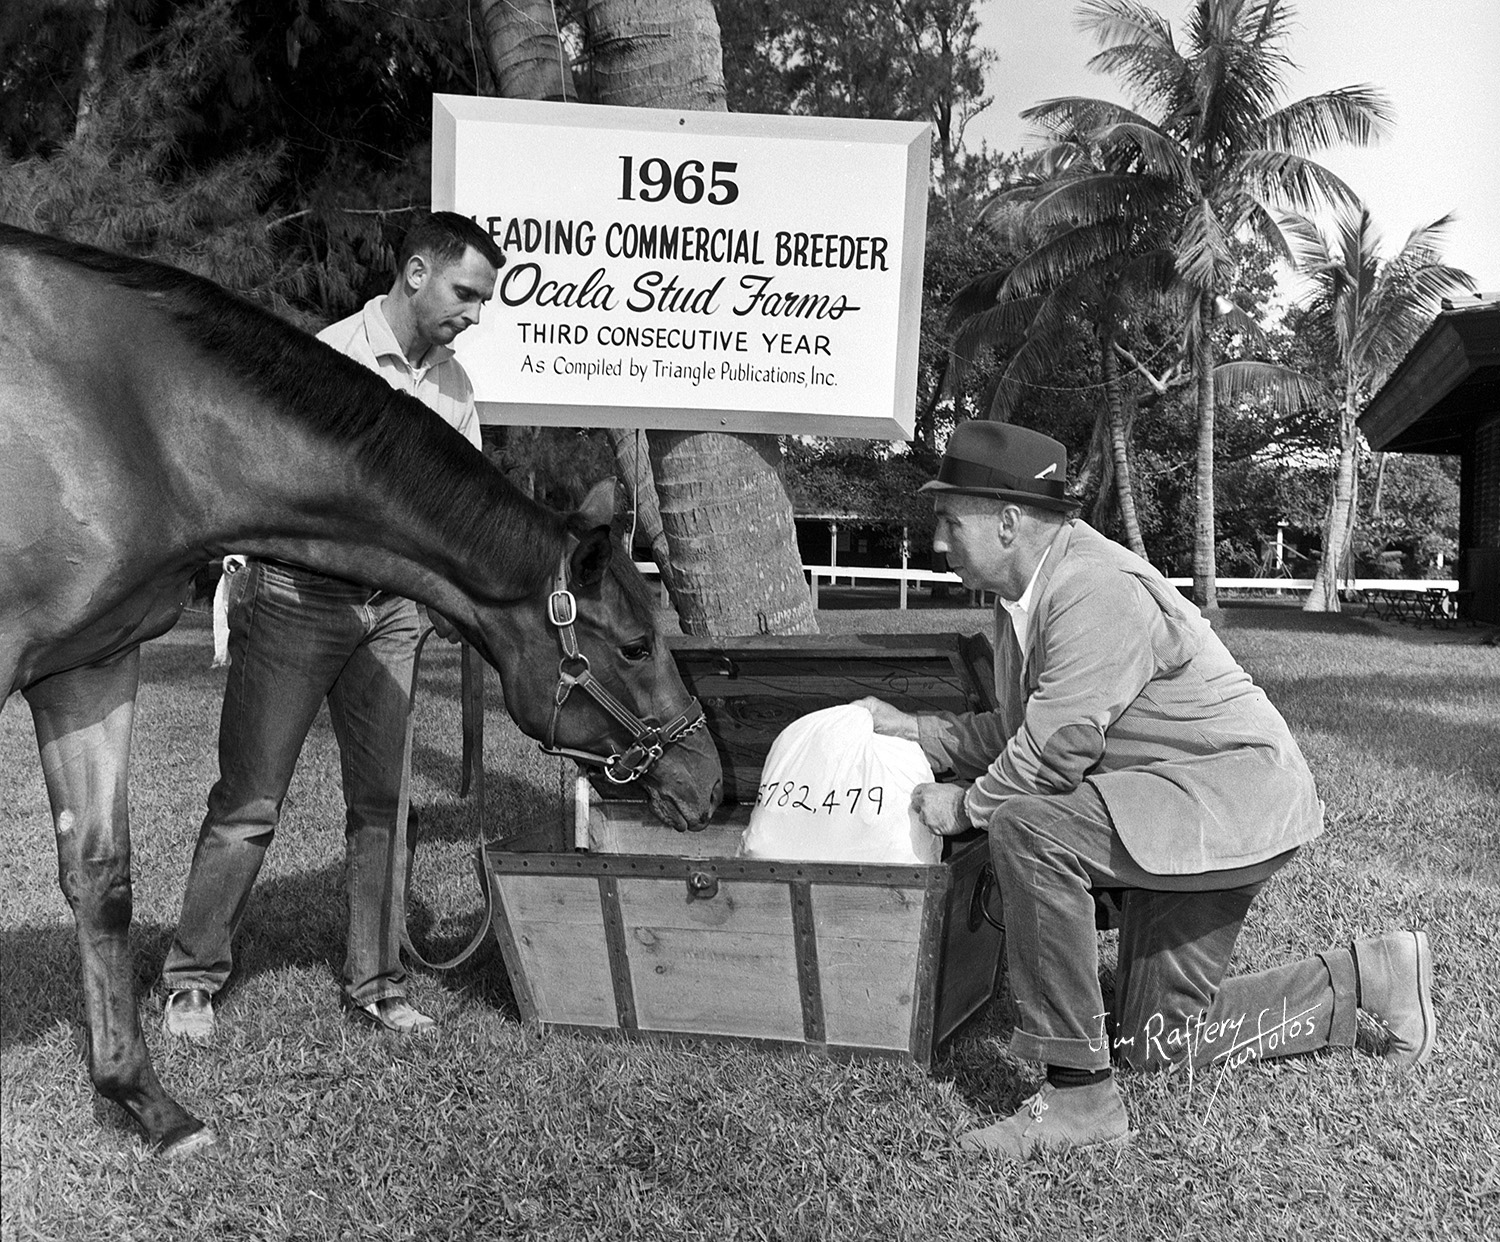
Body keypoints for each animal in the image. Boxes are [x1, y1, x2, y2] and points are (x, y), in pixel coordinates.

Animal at [0, 220, 726, 1152]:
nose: (707, 781)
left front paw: (150, 1105)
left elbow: (101, 880)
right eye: (636, 646)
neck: (131, 418)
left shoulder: (87, 667)